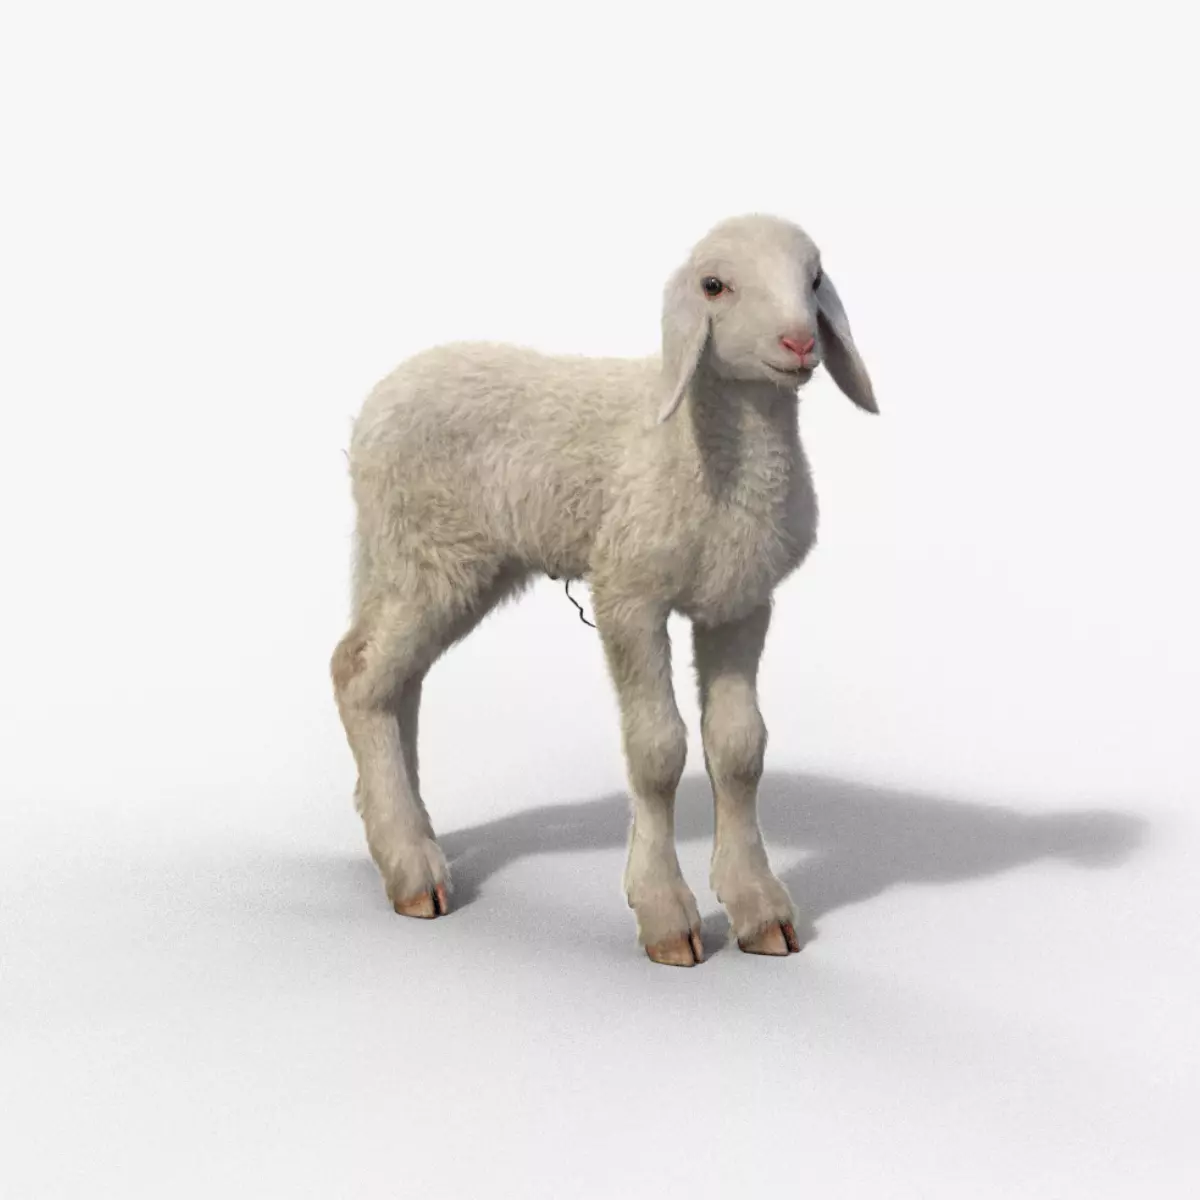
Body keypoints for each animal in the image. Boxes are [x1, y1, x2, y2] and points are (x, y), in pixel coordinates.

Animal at [331, 213, 877, 966]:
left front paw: (759, 910)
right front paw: (666, 915)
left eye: (815, 278)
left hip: (451, 567)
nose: (799, 342)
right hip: (424, 552)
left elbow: (740, 749)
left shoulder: (740, 601)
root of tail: (381, 395)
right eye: (714, 285)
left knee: (394, 680)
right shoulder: (628, 593)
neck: (698, 446)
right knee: (359, 678)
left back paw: (406, 842)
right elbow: (658, 751)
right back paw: (413, 869)